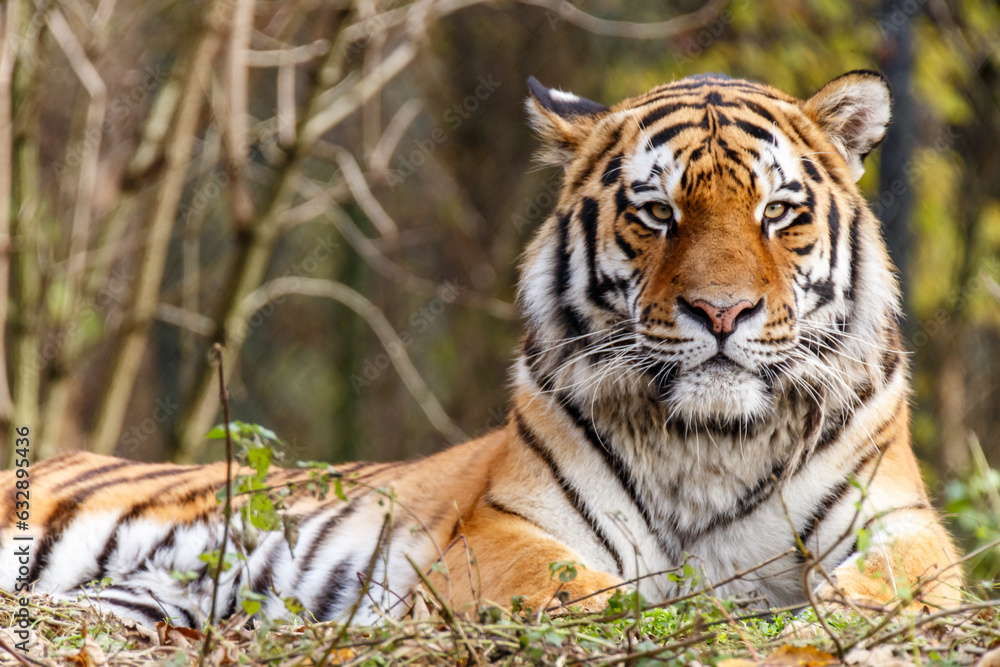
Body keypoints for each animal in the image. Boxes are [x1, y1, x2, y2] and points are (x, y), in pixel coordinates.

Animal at [1, 70, 961, 628]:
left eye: (778, 212)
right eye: (657, 212)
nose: (720, 311)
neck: (711, 439)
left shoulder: (897, 514)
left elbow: (914, 572)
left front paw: (844, 607)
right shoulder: (504, 527)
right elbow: (576, 585)